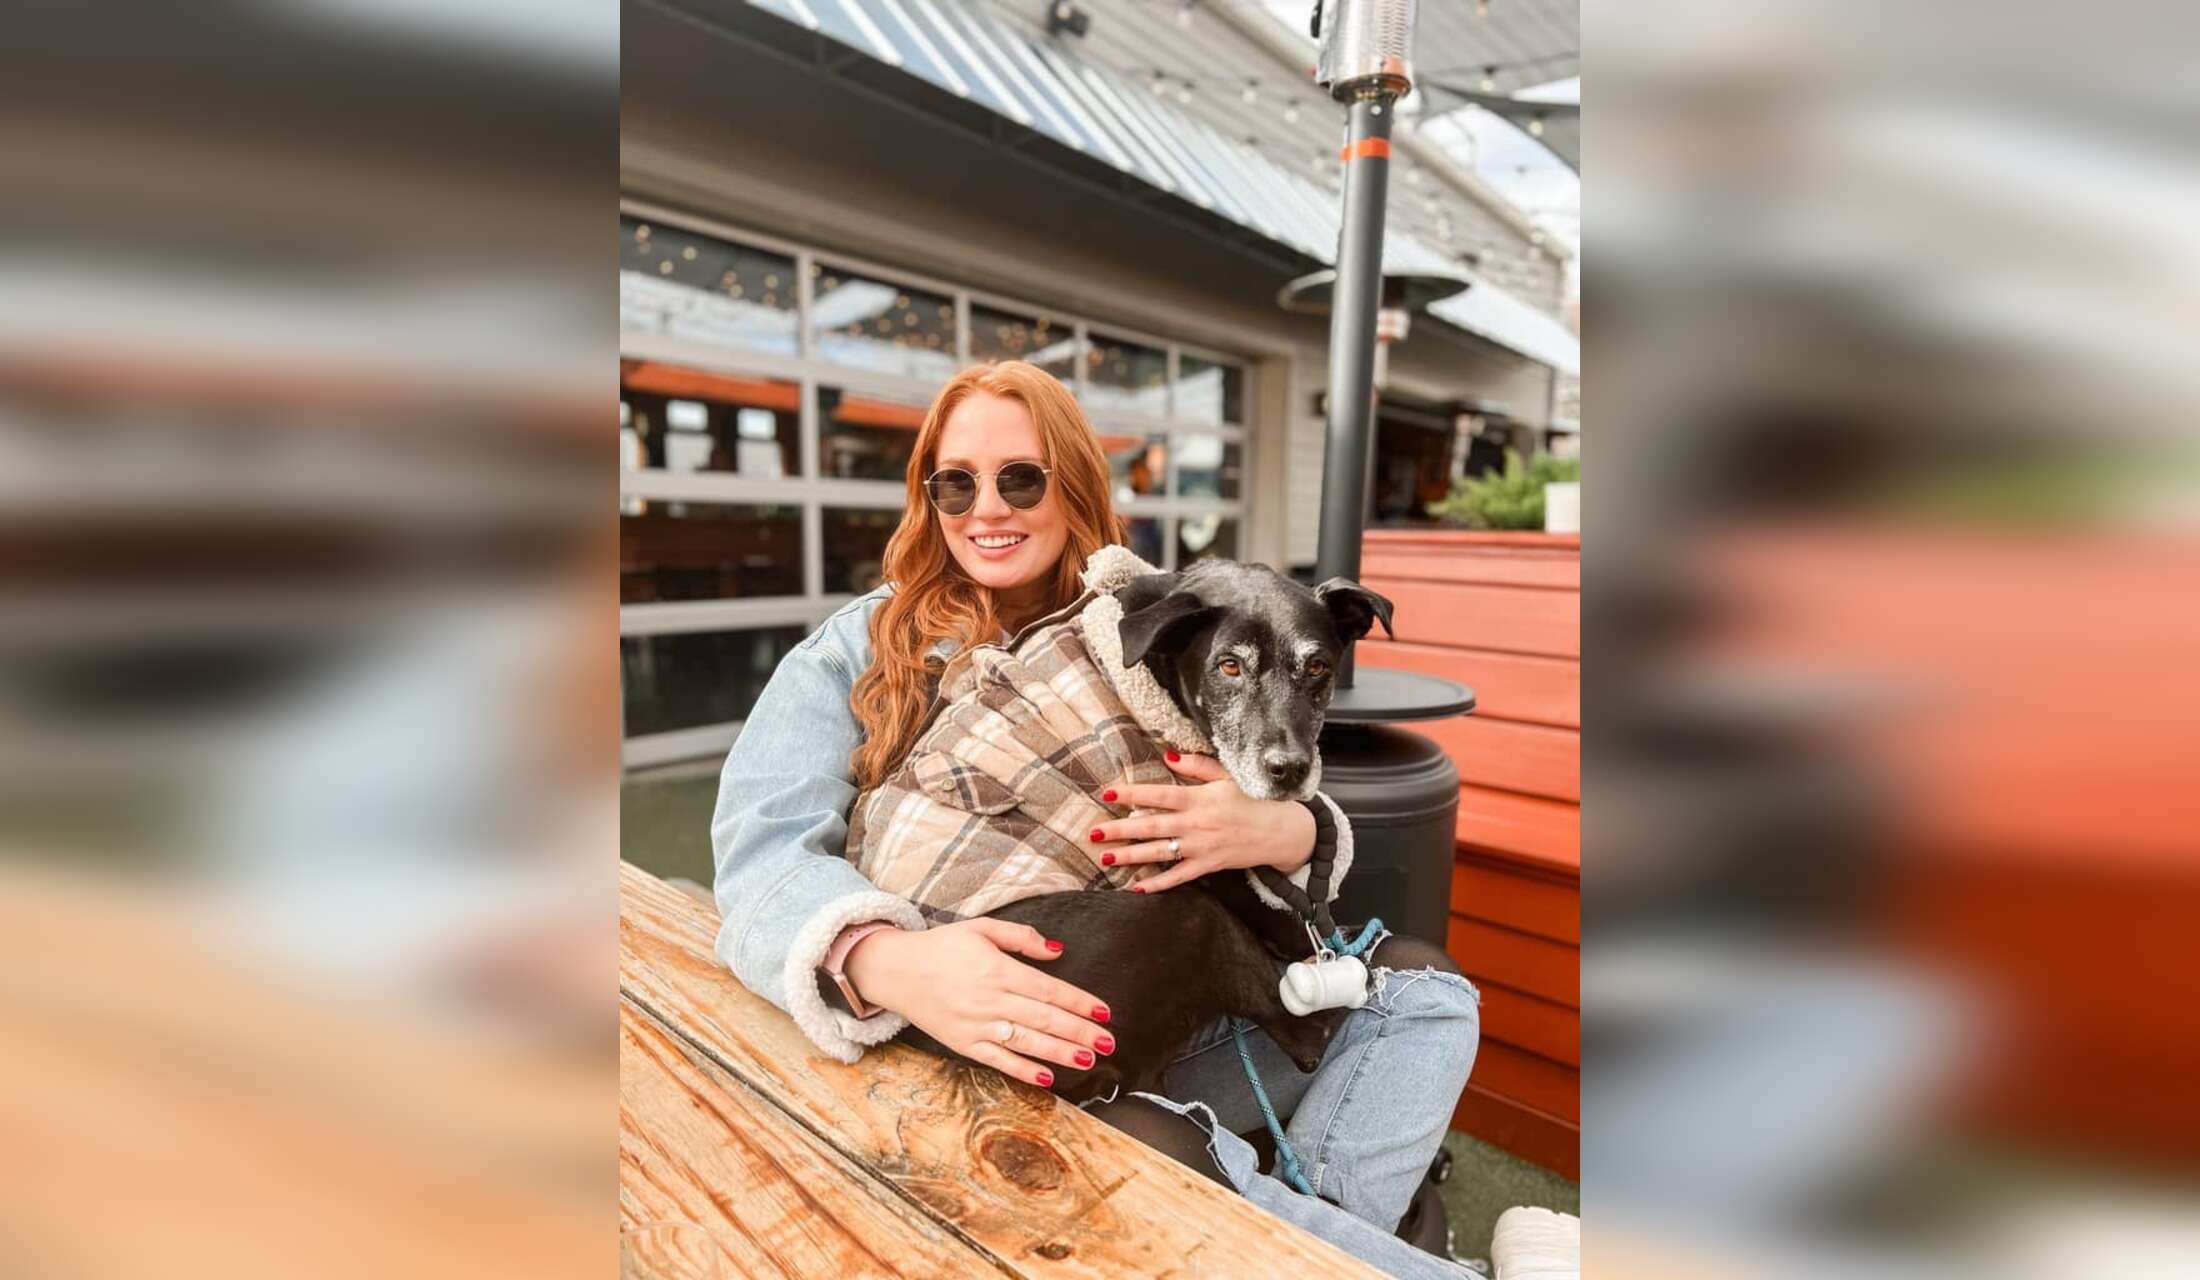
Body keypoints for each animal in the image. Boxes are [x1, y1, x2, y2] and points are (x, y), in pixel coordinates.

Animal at [897, 558, 1395, 1103]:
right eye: (1229, 666)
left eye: (1318, 667)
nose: (1289, 770)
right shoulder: (1209, 867)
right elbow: (1289, 918)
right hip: (1185, 917)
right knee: (1310, 1034)